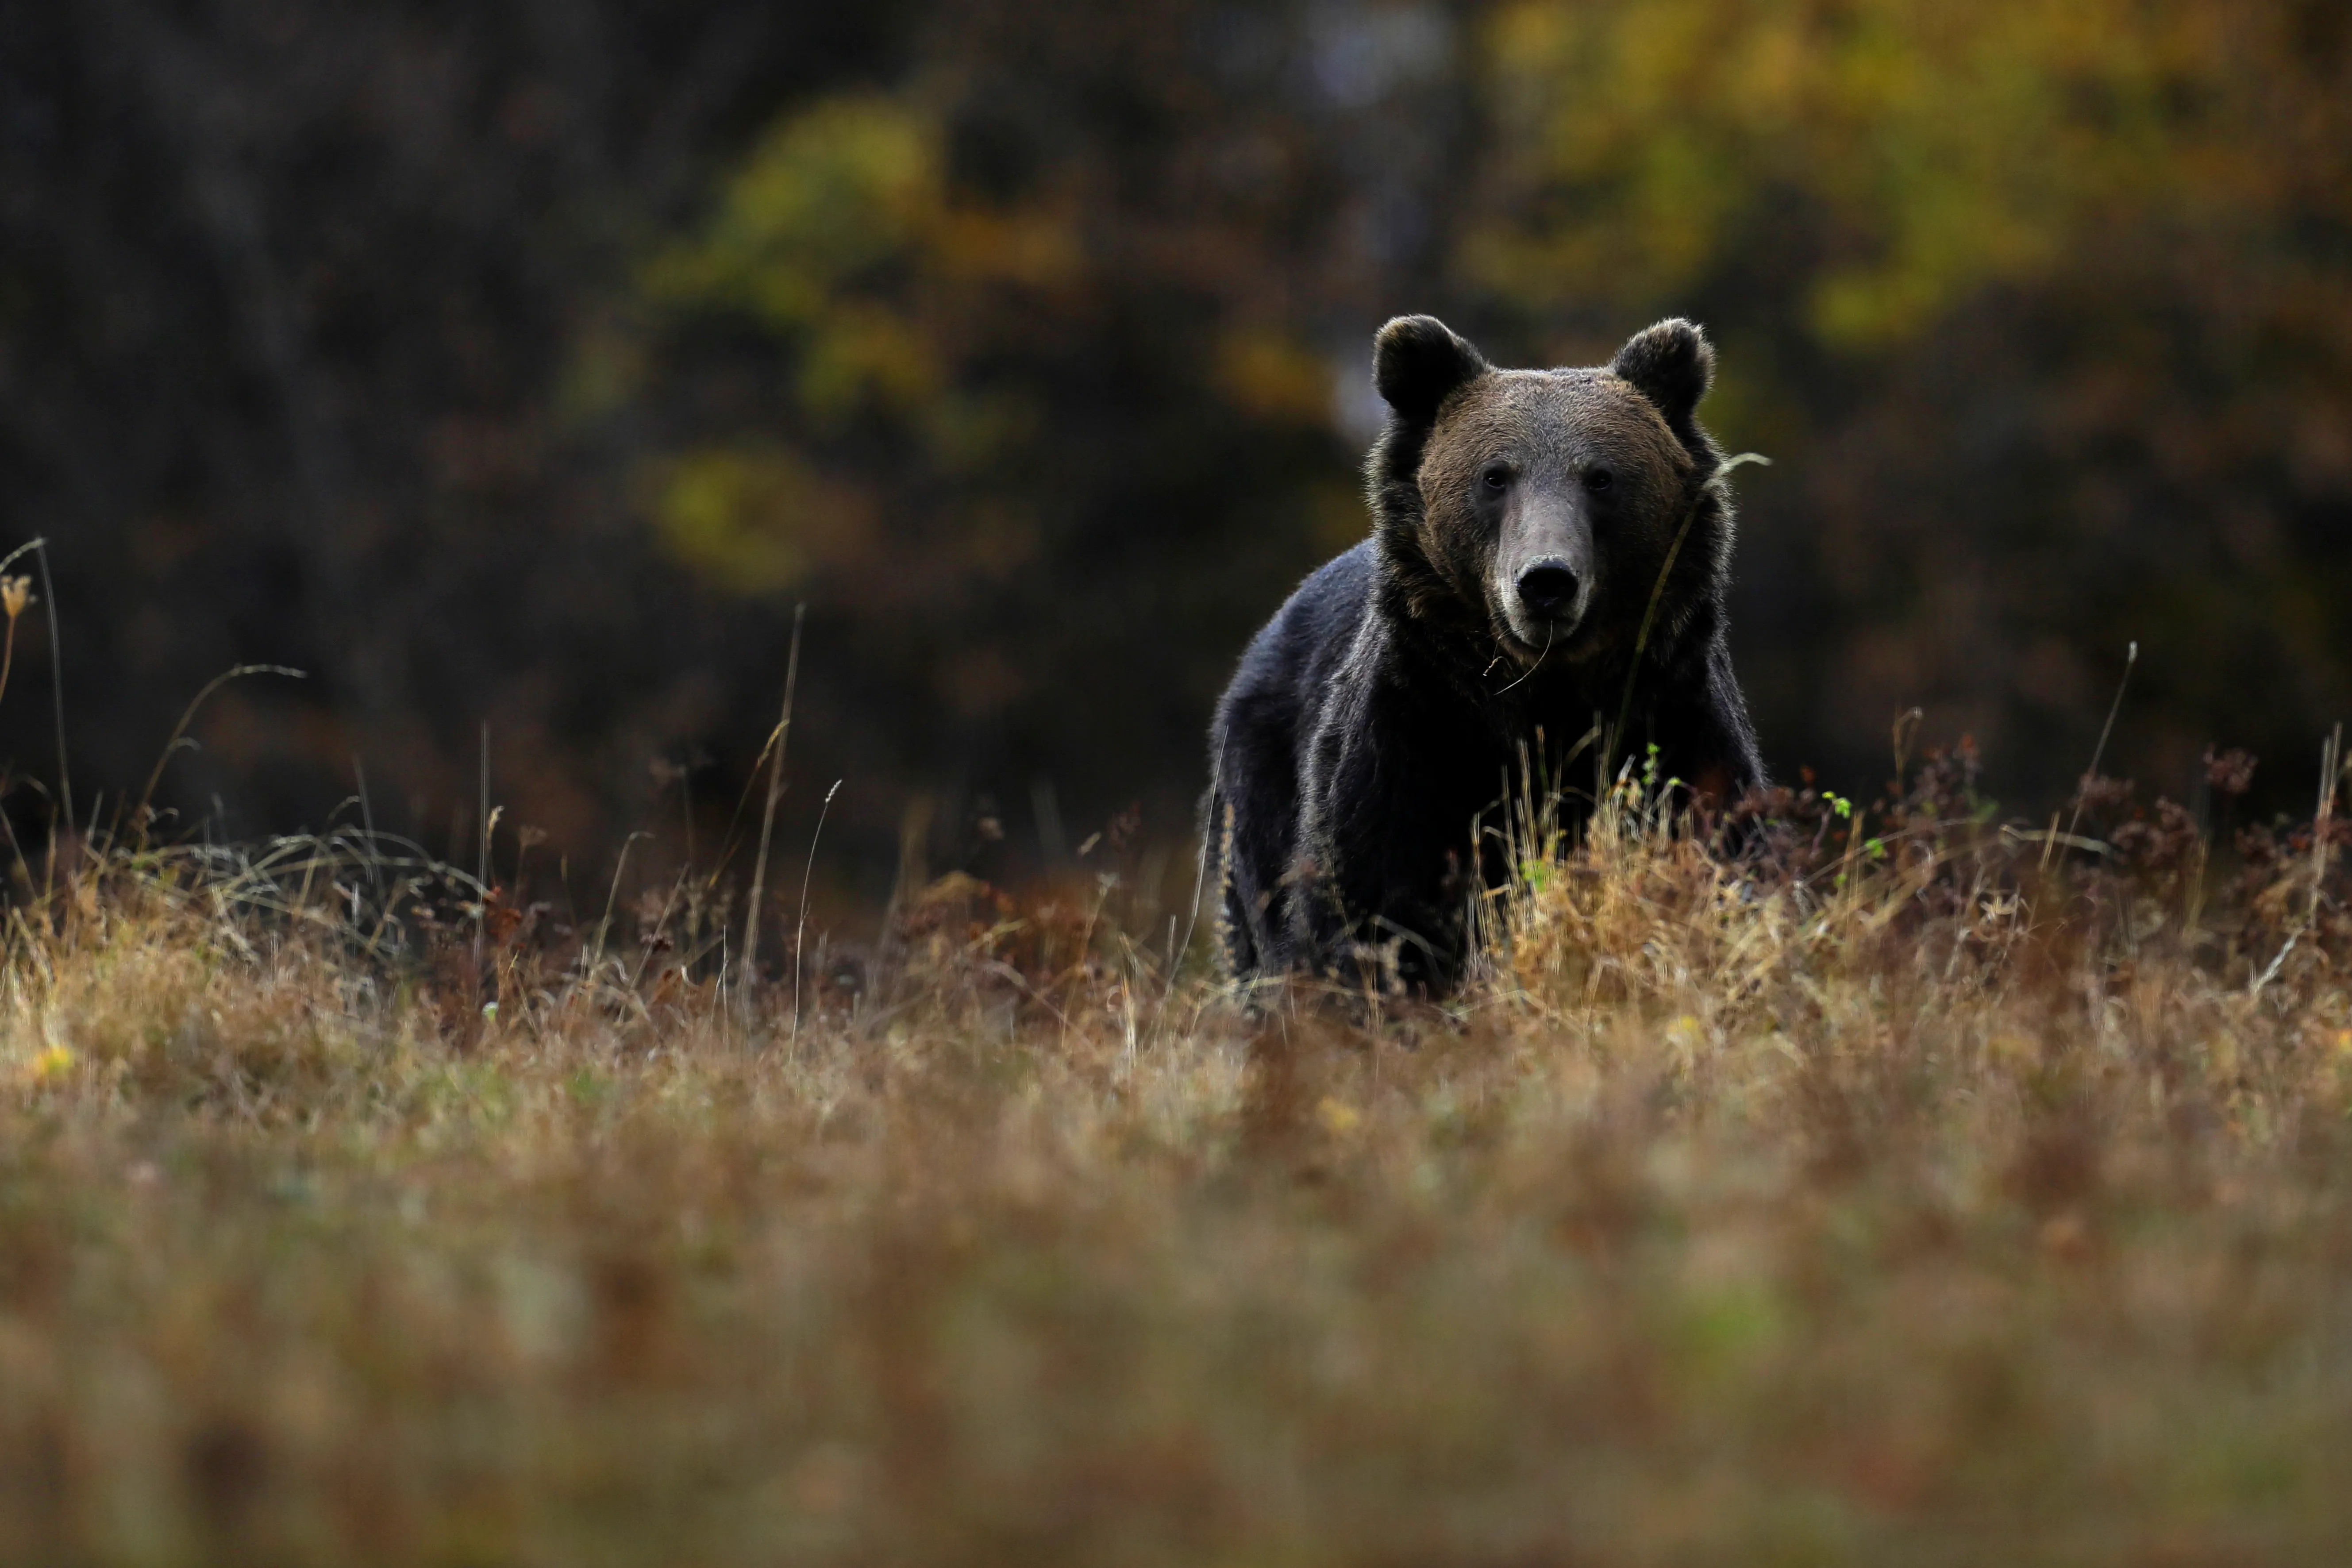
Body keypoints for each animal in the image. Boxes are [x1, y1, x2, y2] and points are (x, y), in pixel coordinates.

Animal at [1204, 315, 1764, 990]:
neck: (1544, 694)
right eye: (1495, 475)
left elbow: (1722, 855)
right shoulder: (1417, 736)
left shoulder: (1672, 717)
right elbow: (1363, 909)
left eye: (1600, 476)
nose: (1545, 581)